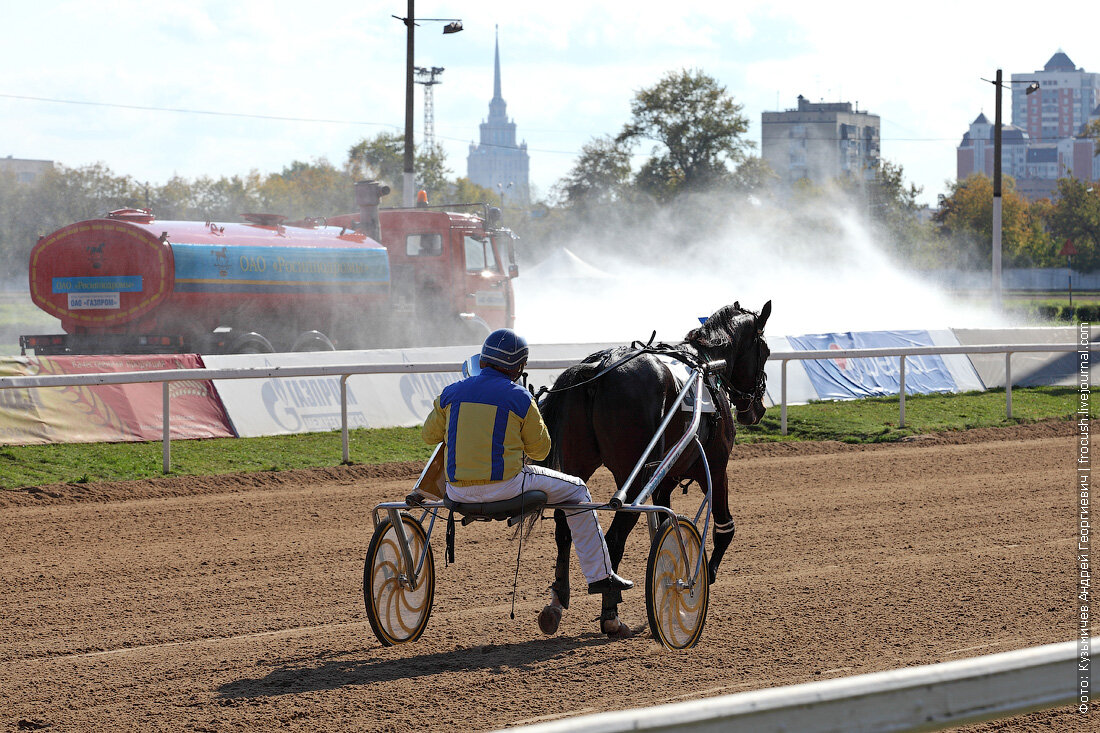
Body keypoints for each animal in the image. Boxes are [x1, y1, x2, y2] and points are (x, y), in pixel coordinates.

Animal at [536, 299, 770, 638]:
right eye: (764, 350)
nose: (757, 408)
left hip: (580, 463)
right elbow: (725, 528)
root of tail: (599, 370)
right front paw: (705, 577)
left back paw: (556, 603)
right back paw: (611, 614)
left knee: (565, 528)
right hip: (634, 477)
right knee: (615, 536)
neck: (705, 365)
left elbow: (663, 527)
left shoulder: (666, 479)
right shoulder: (715, 466)